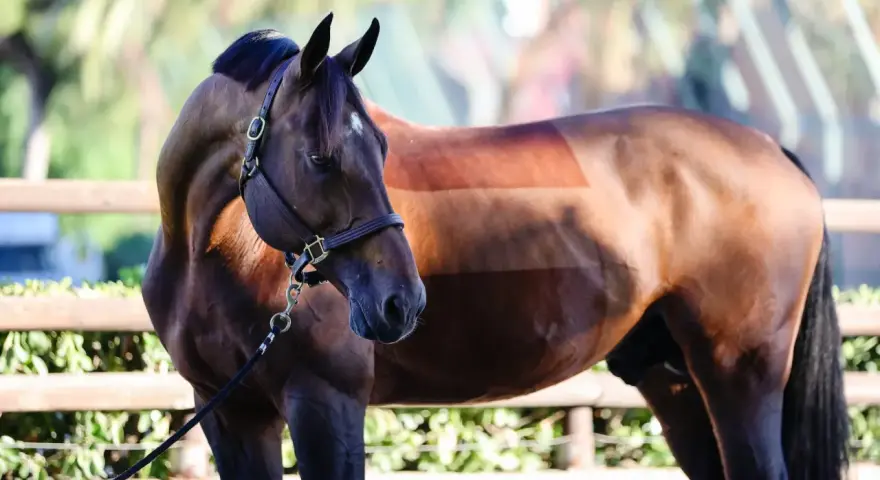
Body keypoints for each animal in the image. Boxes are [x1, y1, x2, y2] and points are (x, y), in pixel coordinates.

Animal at [143, 16, 849, 480]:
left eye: (382, 148)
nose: (402, 302)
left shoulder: (326, 405)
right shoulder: (231, 415)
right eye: (320, 157)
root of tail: (772, 150)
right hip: (674, 383)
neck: (212, 254)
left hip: (740, 376)